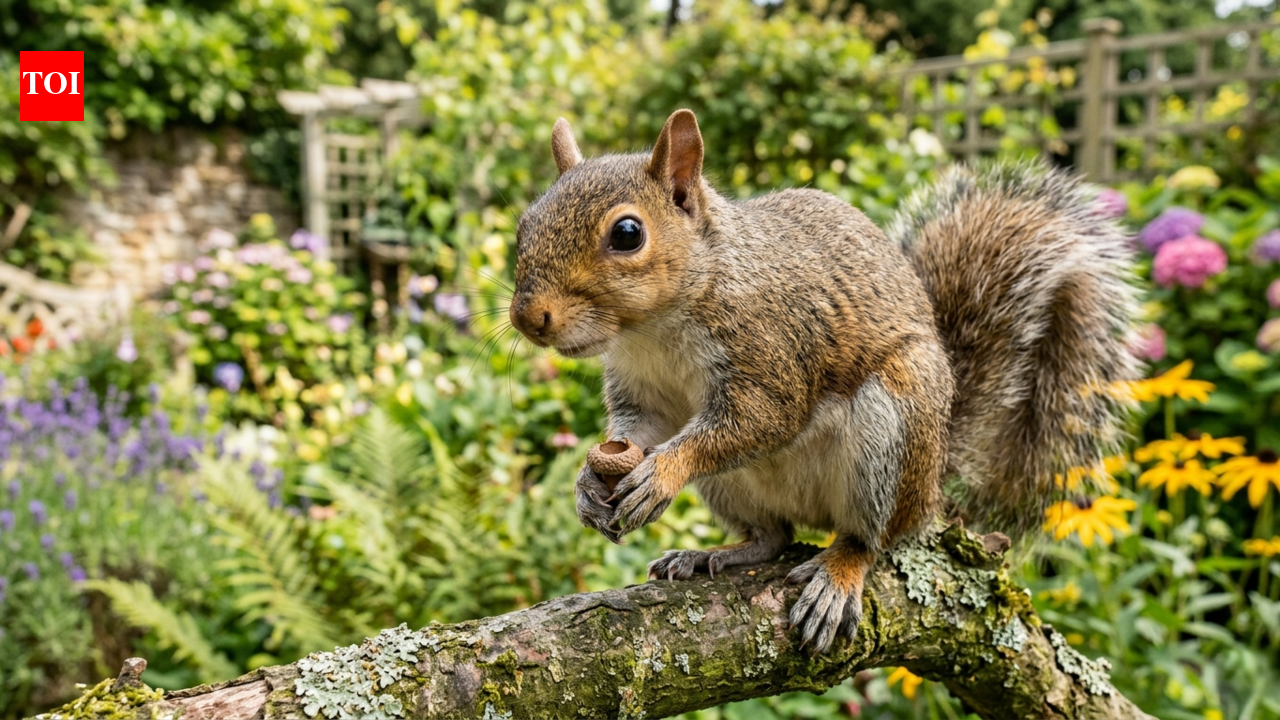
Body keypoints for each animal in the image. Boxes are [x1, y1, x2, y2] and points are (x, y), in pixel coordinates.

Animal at [509, 109, 1138, 653]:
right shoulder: (642, 387)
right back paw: (716, 553)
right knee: (775, 536)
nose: (526, 318)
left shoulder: (772, 352)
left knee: (869, 538)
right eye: (524, 224)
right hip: (735, 488)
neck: (654, 327)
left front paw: (661, 472)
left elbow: (761, 419)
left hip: (892, 432)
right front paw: (588, 485)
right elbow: (638, 430)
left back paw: (838, 574)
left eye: (627, 234)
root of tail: (934, 486)